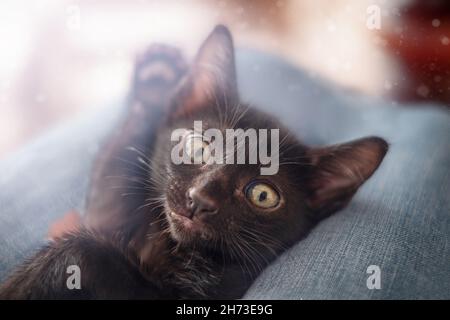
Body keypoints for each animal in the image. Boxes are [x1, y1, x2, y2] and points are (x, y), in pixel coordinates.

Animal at [0, 25, 386, 300]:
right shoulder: (108, 216)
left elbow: (87, 252)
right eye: (200, 147)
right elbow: (115, 174)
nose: (200, 199)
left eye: (263, 195)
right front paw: (156, 79)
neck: (170, 245)